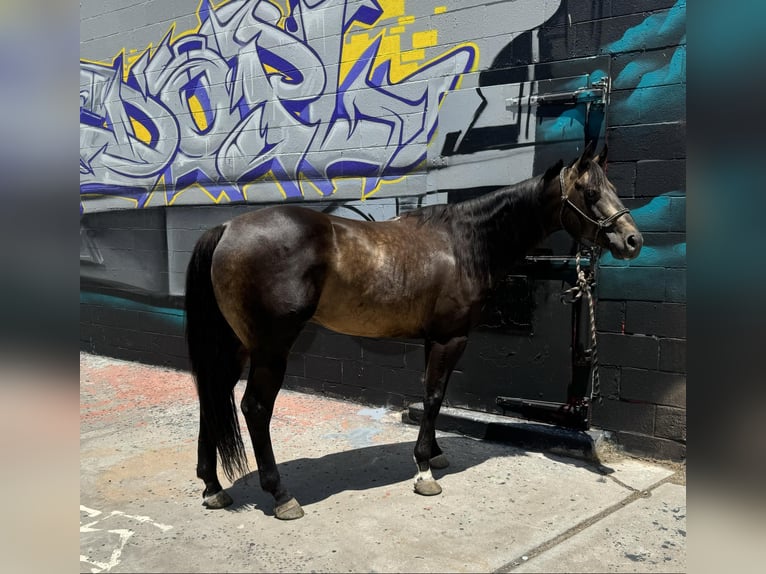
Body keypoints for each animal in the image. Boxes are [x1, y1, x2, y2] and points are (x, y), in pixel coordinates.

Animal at [184, 143, 643, 520]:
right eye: (589, 193)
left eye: (612, 186)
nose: (632, 240)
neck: (464, 242)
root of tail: (226, 230)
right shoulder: (450, 338)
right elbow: (435, 396)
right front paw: (424, 471)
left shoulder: (432, 339)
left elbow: (431, 397)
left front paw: (434, 455)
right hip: (270, 349)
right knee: (254, 409)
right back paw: (281, 496)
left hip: (235, 346)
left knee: (212, 396)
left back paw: (213, 487)